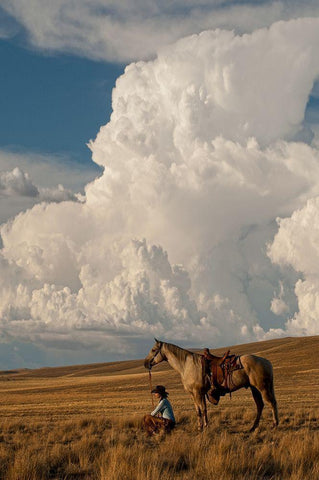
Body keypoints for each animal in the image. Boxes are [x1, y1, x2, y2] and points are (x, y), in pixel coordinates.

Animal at [144, 340, 278, 434]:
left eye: (154, 349)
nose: (145, 363)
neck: (187, 365)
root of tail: (266, 362)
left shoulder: (197, 393)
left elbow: (202, 410)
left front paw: (204, 427)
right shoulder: (196, 394)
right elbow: (200, 410)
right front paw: (201, 427)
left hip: (263, 387)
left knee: (271, 403)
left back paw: (274, 425)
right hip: (254, 389)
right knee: (260, 405)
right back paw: (253, 427)